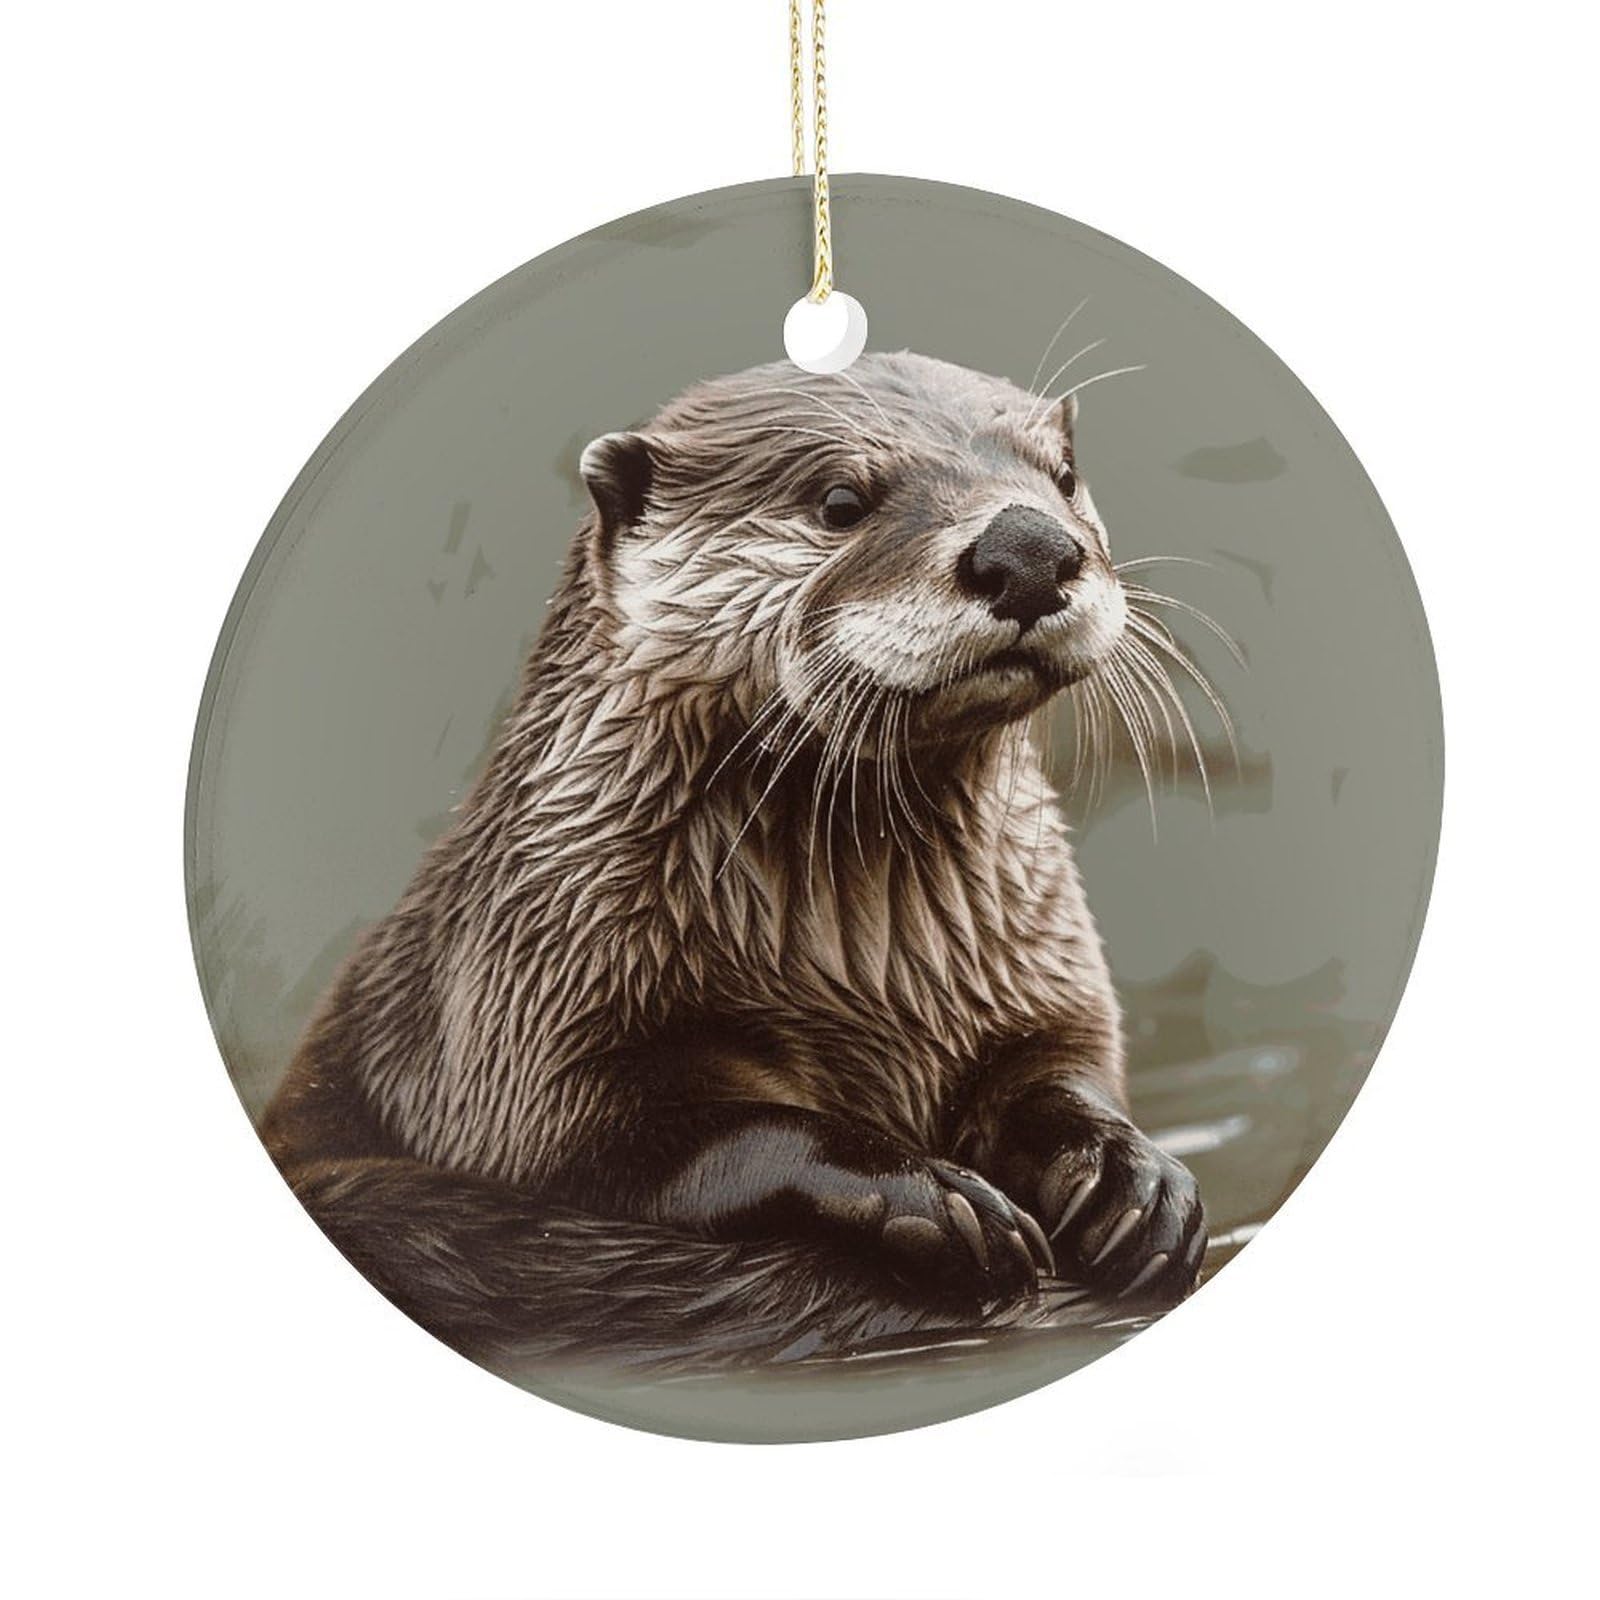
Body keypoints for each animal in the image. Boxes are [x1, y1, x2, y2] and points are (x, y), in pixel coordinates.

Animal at [264, 351, 1208, 1368]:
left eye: (1062, 477)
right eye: (841, 500)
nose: (1030, 547)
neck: (868, 978)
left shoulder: (1037, 975)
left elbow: (1056, 1071)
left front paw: (1133, 1175)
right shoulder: (521, 1013)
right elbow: (650, 1137)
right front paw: (933, 1193)